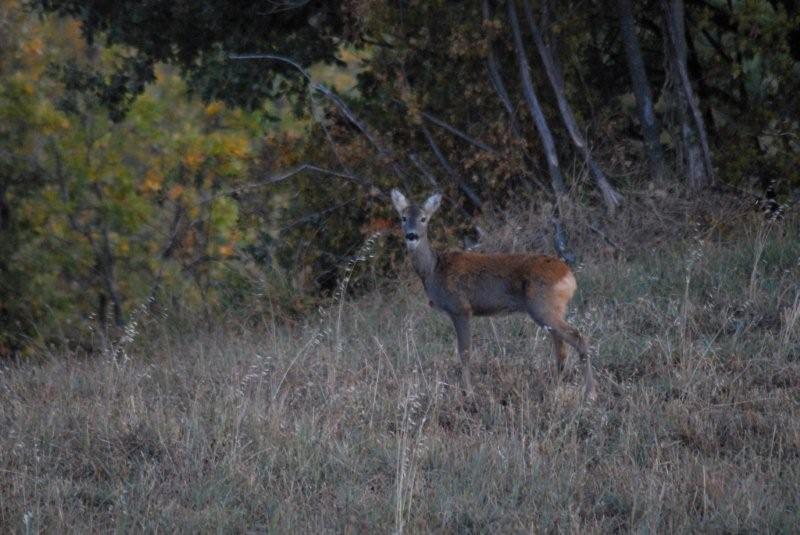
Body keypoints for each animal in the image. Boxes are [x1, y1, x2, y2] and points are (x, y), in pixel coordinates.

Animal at [390, 191, 596, 400]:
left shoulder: (460, 308)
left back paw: (590, 393)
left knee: (578, 337)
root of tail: (569, 275)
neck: (434, 270)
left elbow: (464, 352)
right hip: (552, 309)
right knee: (561, 348)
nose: (411, 235)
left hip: (542, 306)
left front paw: (469, 393)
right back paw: (557, 388)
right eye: (403, 217)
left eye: (423, 218)